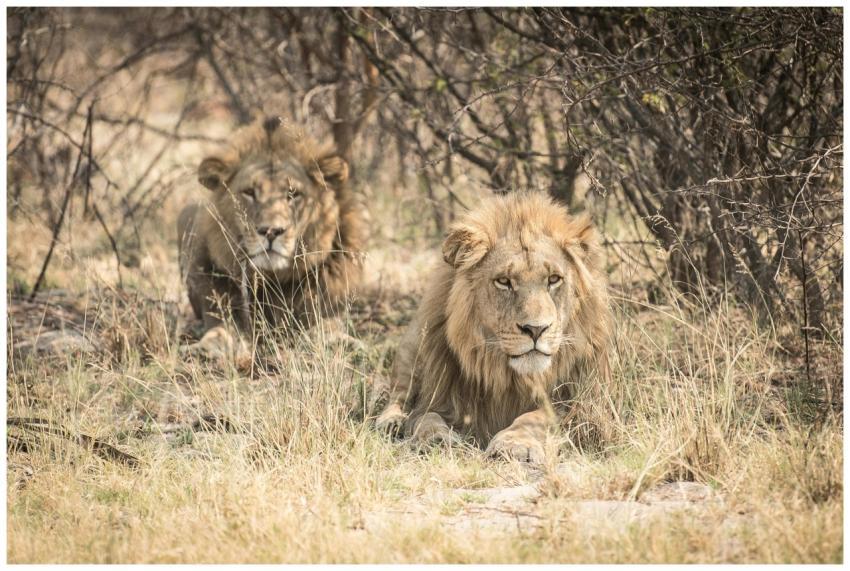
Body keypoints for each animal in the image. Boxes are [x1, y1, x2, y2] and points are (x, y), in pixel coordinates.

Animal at [177, 116, 367, 357]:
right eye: (249, 192)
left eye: (293, 193)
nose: (270, 231)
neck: (273, 280)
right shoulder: (223, 308)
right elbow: (220, 330)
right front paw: (204, 348)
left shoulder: (325, 307)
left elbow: (325, 327)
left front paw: (341, 342)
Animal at [375, 192, 612, 463]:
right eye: (503, 281)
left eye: (554, 279)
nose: (536, 330)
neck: (508, 376)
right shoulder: (438, 399)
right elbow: (425, 417)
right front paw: (435, 439)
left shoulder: (581, 406)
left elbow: (537, 417)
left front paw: (513, 444)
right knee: (398, 395)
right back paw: (390, 422)